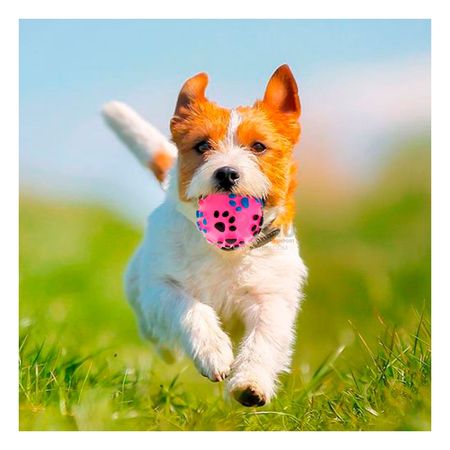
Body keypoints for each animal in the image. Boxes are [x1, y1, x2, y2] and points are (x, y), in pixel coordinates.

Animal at [101, 64, 306, 408]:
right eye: (201, 146)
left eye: (258, 146)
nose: (227, 173)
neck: (225, 248)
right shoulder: (163, 286)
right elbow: (191, 309)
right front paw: (213, 353)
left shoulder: (271, 297)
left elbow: (263, 339)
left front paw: (250, 383)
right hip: (142, 295)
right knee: (155, 332)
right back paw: (168, 349)